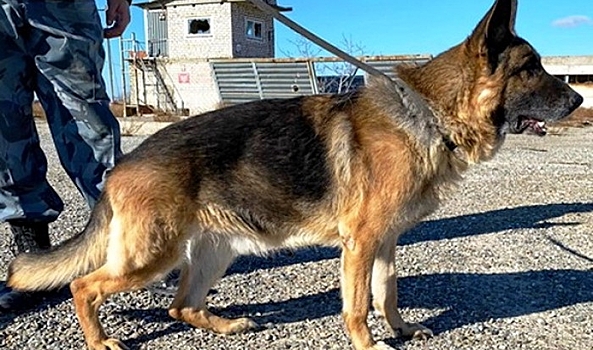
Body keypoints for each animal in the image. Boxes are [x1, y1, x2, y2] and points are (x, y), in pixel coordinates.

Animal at [6, 0, 580, 350]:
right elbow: (357, 306)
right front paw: (368, 343)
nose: (578, 100)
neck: (429, 113)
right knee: (85, 285)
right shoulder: (360, 243)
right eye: (531, 68)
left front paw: (399, 329)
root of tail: (125, 162)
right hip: (153, 254)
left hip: (214, 252)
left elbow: (387, 293)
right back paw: (99, 339)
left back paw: (226, 323)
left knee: (180, 306)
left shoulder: (386, 242)